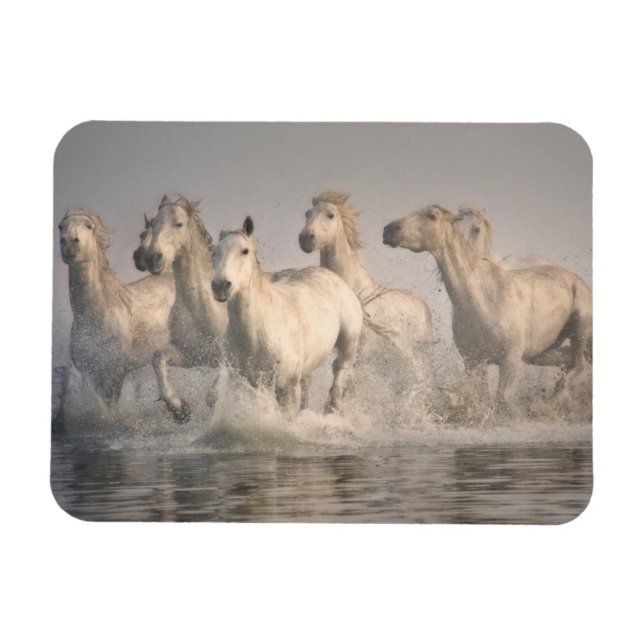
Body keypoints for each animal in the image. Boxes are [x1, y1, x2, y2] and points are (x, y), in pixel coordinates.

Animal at [58, 209, 175, 413]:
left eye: (89, 226)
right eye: (60, 226)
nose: (69, 243)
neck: (94, 318)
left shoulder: (115, 372)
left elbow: (112, 409)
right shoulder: (92, 374)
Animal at [137, 195, 228, 423]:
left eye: (178, 224)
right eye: (152, 224)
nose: (152, 257)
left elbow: (214, 393)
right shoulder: (191, 355)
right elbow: (158, 357)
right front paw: (178, 408)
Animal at [212, 216, 363, 418]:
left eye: (244, 251)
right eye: (215, 251)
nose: (220, 286)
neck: (254, 333)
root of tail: (335, 278)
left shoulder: (286, 386)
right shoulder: (245, 382)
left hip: (348, 343)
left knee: (339, 369)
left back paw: (332, 408)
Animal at [383, 205, 592, 416]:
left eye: (432, 216)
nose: (389, 230)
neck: (482, 299)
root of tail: (577, 279)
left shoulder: (509, 360)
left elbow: (501, 401)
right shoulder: (474, 362)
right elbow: (482, 400)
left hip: (579, 331)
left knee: (578, 364)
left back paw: (556, 396)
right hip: (540, 352)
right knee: (568, 359)